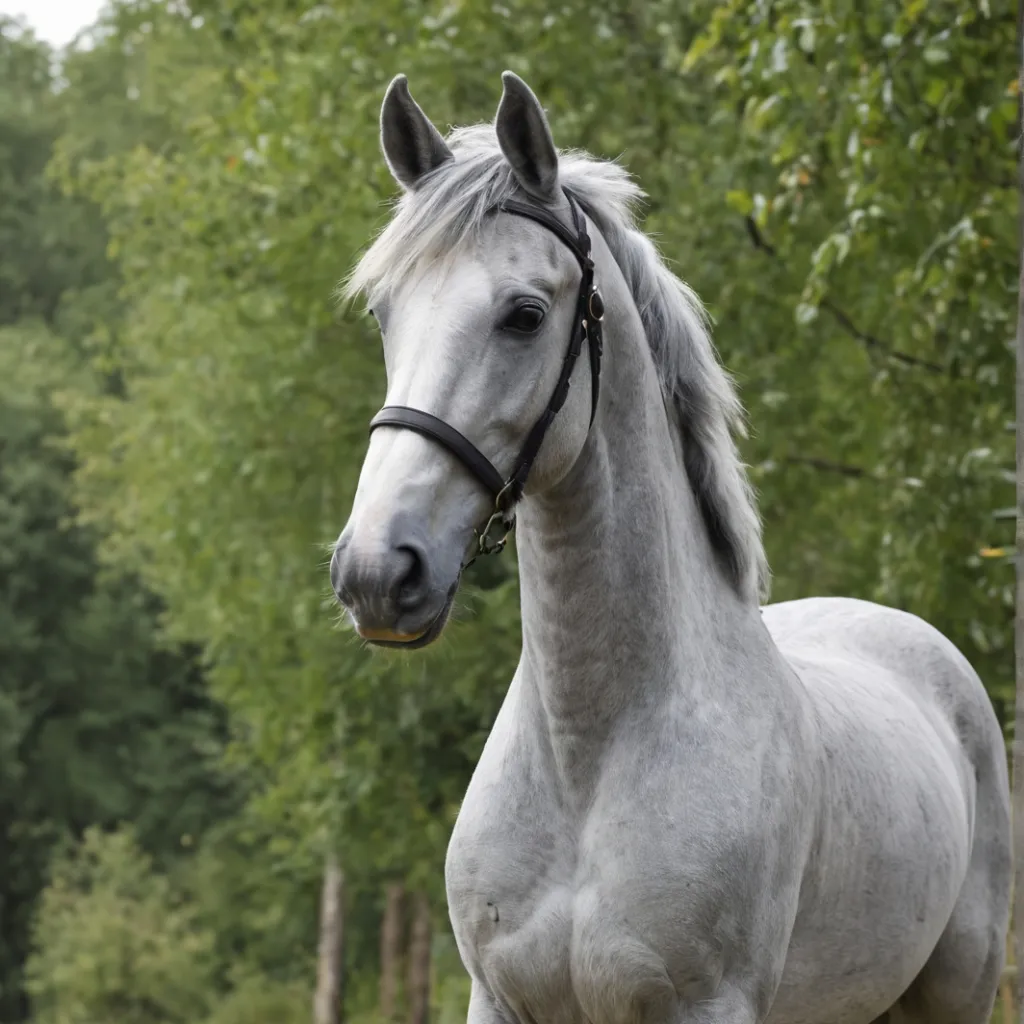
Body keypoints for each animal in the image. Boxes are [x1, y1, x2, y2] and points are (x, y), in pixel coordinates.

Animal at [329, 71, 1011, 1024]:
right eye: (384, 313)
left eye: (524, 315)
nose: (375, 573)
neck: (590, 760)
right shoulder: (497, 1000)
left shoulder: (707, 1006)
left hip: (956, 990)